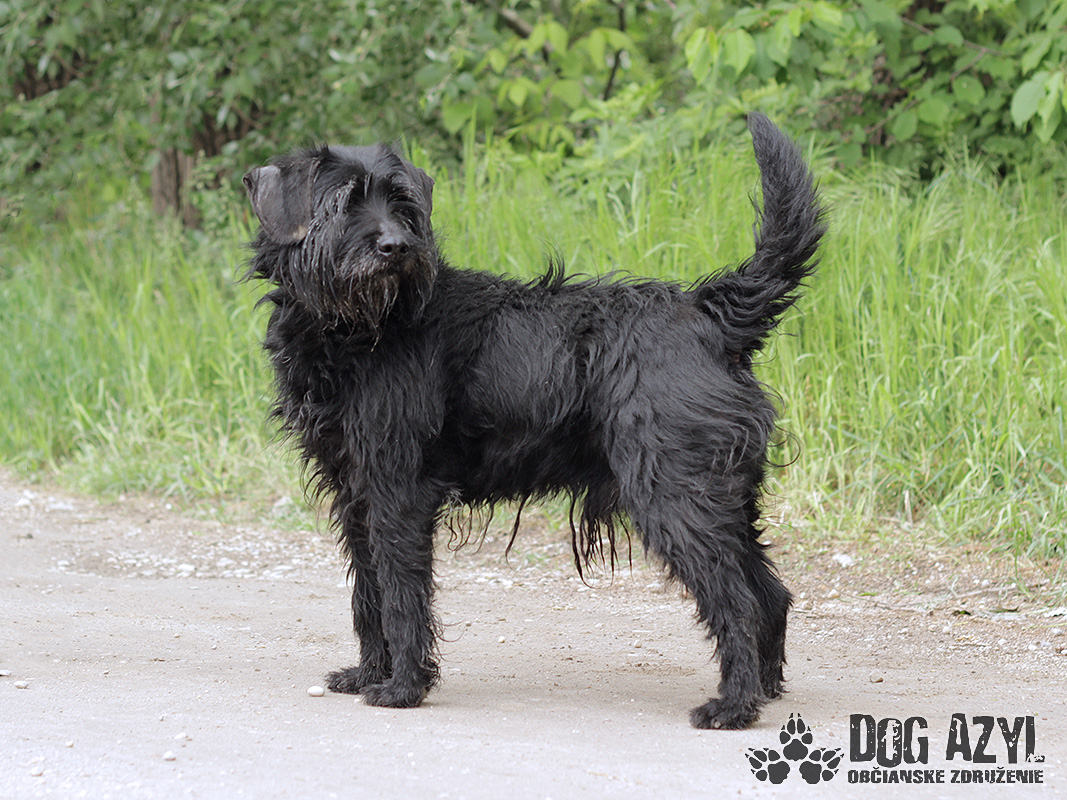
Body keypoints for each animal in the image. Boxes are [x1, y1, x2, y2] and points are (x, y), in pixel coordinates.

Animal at [243, 113, 824, 729]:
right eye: (342, 203)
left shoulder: (397, 490)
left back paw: (733, 705)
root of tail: (710, 312)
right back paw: (764, 690)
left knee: (736, 600)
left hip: (675, 495)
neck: (360, 327)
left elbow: (400, 593)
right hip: (725, 497)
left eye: (403, 206)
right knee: (769, 595)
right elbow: (368, 592)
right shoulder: (356, 492)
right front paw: (369, 674)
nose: (396, 246)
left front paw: (402, 687)